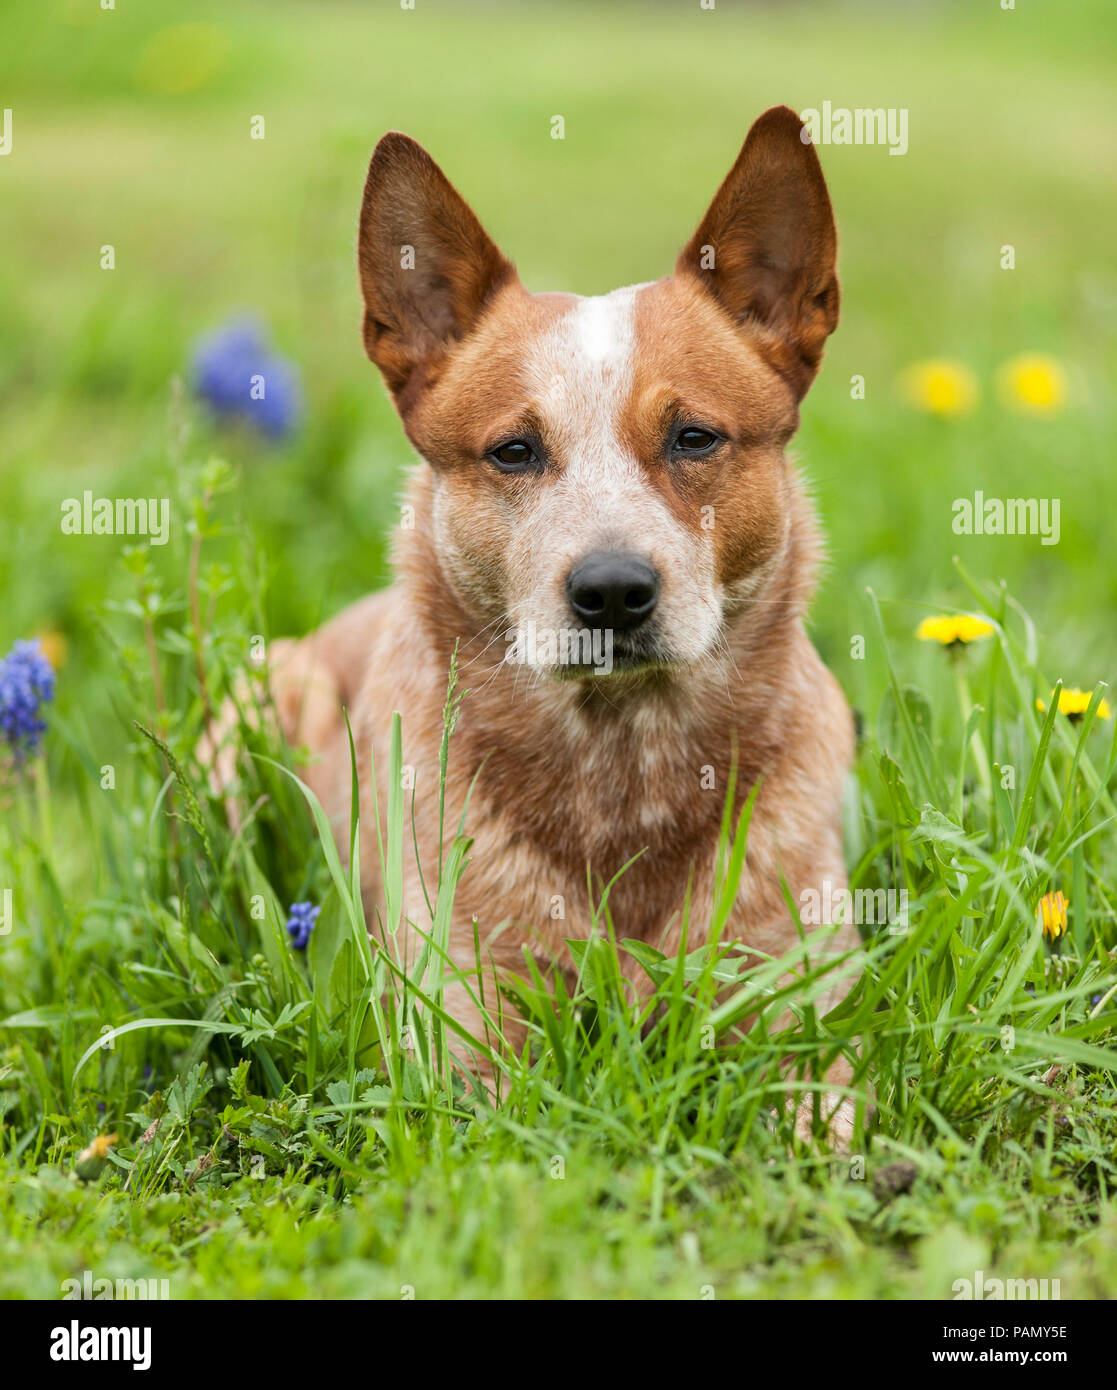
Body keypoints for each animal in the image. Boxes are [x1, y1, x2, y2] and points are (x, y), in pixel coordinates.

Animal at [209, 105, 861, 1139]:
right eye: (513, 451)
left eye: (693, 437)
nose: (612, 590)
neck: (621, 765)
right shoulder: (458, 1017)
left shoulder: (796, 996)